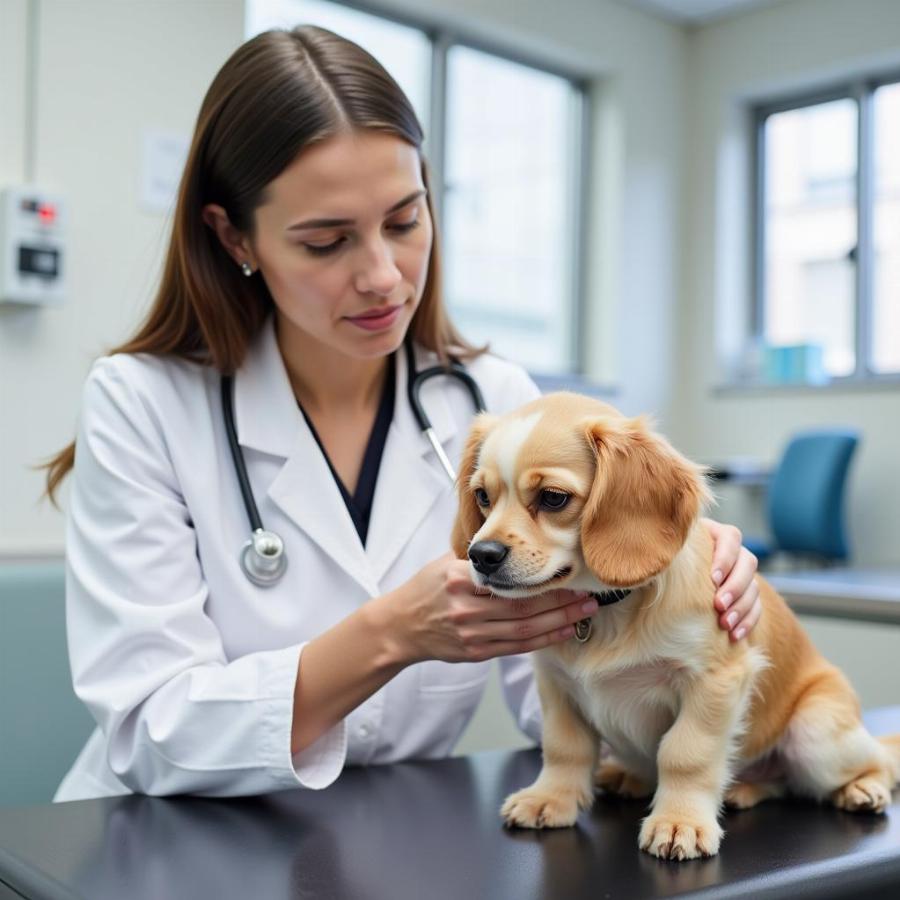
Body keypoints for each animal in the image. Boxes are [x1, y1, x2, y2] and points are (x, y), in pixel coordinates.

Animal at [450, 390, 900, 860]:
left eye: (553, 498)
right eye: (482, 496)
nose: (481, 555)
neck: (608, 610)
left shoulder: (714, 681)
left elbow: (684, 753)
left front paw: (679, 821)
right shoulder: (556, 685)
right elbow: (563, 748)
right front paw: (551, 798)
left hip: (817, 735)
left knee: (880, 763)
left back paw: (860, 788)